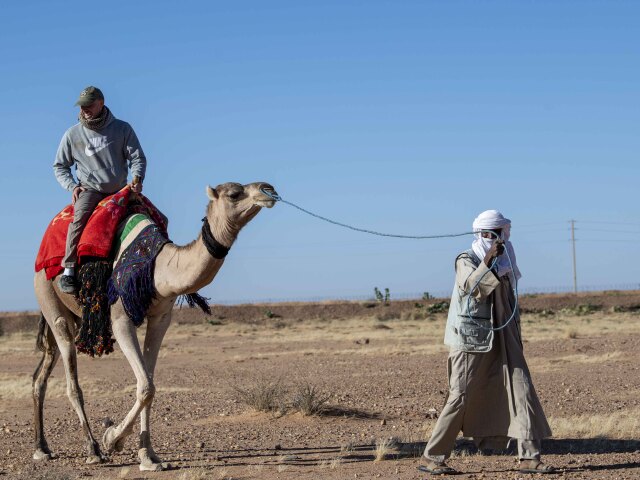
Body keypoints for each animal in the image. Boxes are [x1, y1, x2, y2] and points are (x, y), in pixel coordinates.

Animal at [32, 181, 277, 471]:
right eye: (234, 194)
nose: (268, 190)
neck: (159, 268)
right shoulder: (120, 318)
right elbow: (146, 386)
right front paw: (112, 438)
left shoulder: (161, 318)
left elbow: (149, 384)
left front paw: (147, 455)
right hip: (49, 298)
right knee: (72, 381)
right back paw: (93, 449)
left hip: (75, 317)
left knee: (40, 376)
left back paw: (42, 448)